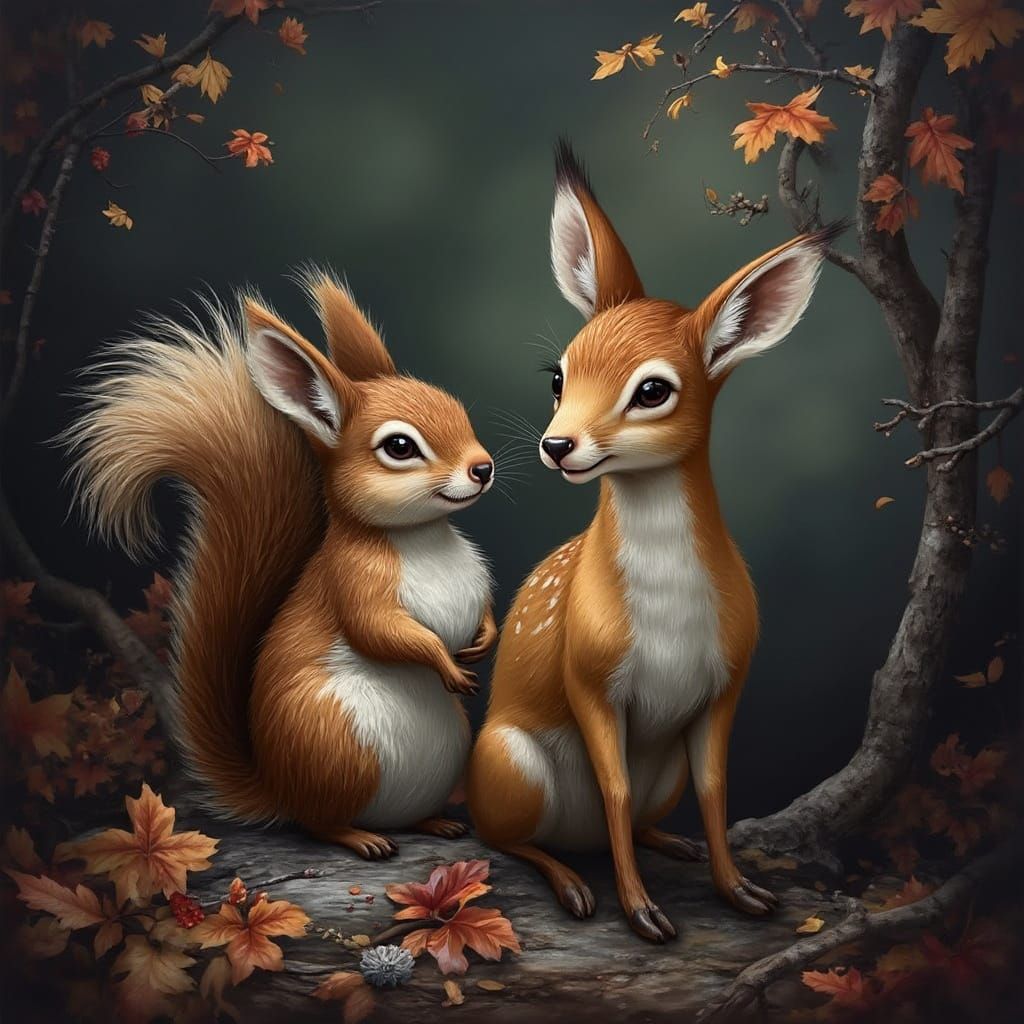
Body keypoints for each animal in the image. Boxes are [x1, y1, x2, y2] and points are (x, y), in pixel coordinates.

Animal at [68, 271, 498, 858]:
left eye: (458, 409)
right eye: (399, 446)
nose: (483, 468)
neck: (424, 537)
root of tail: (277, 789)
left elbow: (484, 611)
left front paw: (484, 639)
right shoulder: (353, 582)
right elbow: (380, 632)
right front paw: (448, 663)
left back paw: (435, 823)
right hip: (335, 744)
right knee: (320, 823)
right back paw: (361, 838)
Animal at [467, 143, 836, 939]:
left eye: (652, 390)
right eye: (558, 377)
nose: (558, 445)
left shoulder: (729, 679)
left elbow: (717, 787)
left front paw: (742, 891)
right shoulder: (589, 676)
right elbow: (611, 787)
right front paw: (641, 914)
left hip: (654, 771)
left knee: (639, 814)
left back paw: (673, 846)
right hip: (509, 759)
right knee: (503, 835)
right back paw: (574, 885)